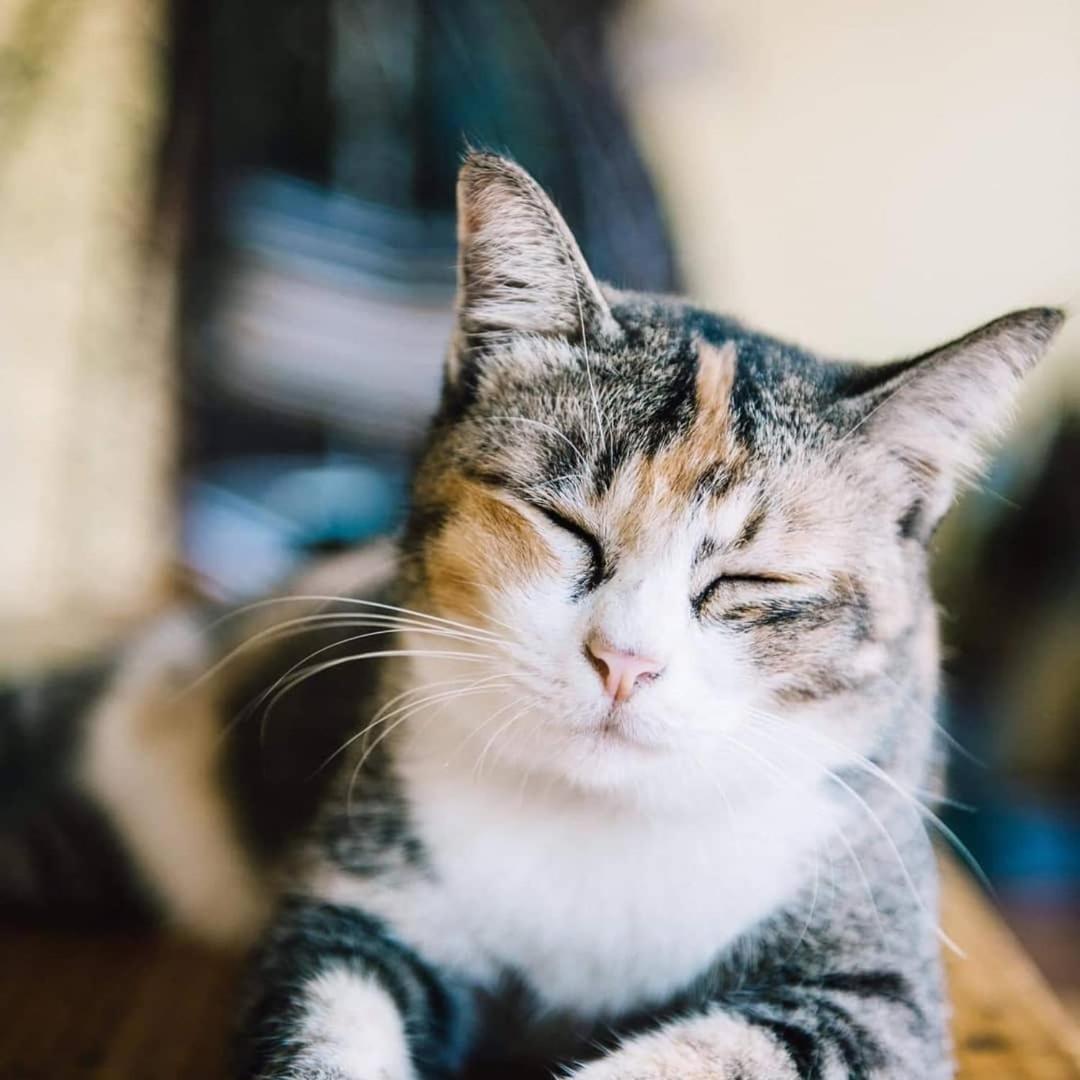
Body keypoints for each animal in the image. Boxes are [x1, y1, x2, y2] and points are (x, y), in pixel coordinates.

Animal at [0, 154, 1062, 1080]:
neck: (595, 820)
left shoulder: (877, 999)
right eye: (564, 524)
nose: (625, 660)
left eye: (751, 582)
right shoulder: (352, 920)